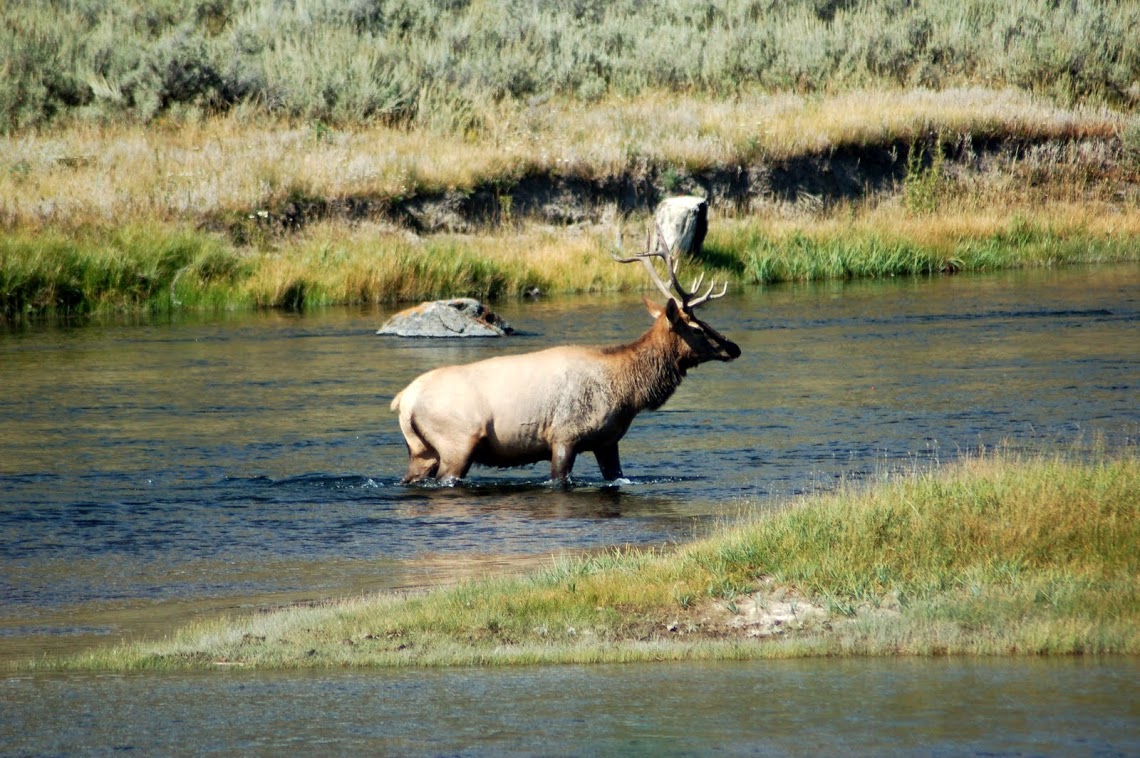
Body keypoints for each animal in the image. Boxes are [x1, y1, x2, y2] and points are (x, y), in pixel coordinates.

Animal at [389, 224, 741, 484]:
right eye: (696, 327)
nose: (733, 347)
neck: (628, 392)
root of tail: (404, 399)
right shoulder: (563, 437)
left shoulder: (608, 442)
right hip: (456, 442)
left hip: (422, 450)